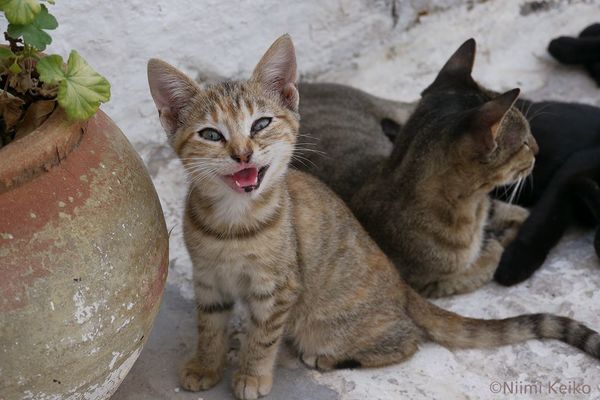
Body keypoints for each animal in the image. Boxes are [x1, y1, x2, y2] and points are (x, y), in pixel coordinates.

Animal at [149, 34, 600, 400]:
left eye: (260, 124)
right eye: (211, 135)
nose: (242, 154)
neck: (233, 225)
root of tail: (402, 289)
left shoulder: (278, 290)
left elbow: (262, 339)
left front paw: (251, 376)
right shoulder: (209, 280)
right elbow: (209, 328)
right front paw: (206, 366)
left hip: (324, 324)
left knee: (407, 341)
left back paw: (329, 358)